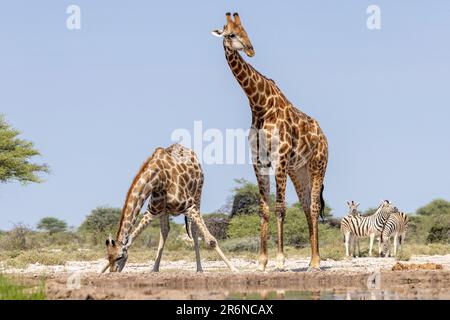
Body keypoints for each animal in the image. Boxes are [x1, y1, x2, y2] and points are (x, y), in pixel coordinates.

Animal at [101, 144, 236, 272]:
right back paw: (155, 269)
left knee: (194, 230)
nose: (113, 271)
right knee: (165, 231)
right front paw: (102, 270)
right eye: (108, 257)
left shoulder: (189, 206)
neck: (158, 179)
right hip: (164, 211)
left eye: (119, 256)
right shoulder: (152, 211)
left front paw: (234, 269)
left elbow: (211, 240)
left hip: (198, 195)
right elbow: (134, 237)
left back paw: (199, 269)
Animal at [213, 12, 328, 270]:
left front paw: (280, 260)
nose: (251, 49)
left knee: (314, 207)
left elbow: (279, 208)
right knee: (306, 207)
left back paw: (316, 262)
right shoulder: (259, 161)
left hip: (318, 165)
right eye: (231, 34)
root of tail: (324, 136)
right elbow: (264, 209)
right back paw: (311, 260)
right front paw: (262, 261)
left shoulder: (280, 159)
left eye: (245, 31)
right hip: (299, 171)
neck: (259, 105)